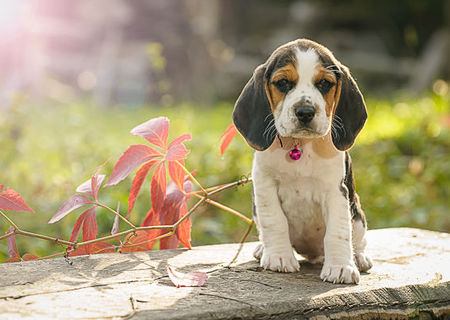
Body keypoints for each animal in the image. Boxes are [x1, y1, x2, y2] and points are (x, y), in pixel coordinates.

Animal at [232, 39, 372, 282]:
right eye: (283, 83)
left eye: (324, 83)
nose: (305, 112)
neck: (300, 145)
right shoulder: (265, 185)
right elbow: (275, 221)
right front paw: (279, 257)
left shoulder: (336, 191)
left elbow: (338, 231)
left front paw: (341, 267)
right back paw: (262, 249)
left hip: (357, 214)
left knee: (358, 238)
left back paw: (359, 258)